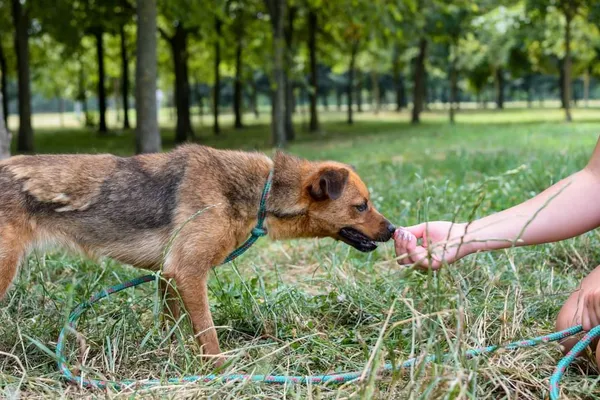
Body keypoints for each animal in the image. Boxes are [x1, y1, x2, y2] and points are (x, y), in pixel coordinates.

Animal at [0, 145, 396, 364]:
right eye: (361, 206)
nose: (393, 230)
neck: (261, 192)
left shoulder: (166, 275)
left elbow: (173, 325)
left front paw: (170, 355)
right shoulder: (188, 272)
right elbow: (207, 332)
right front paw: (219, 370)